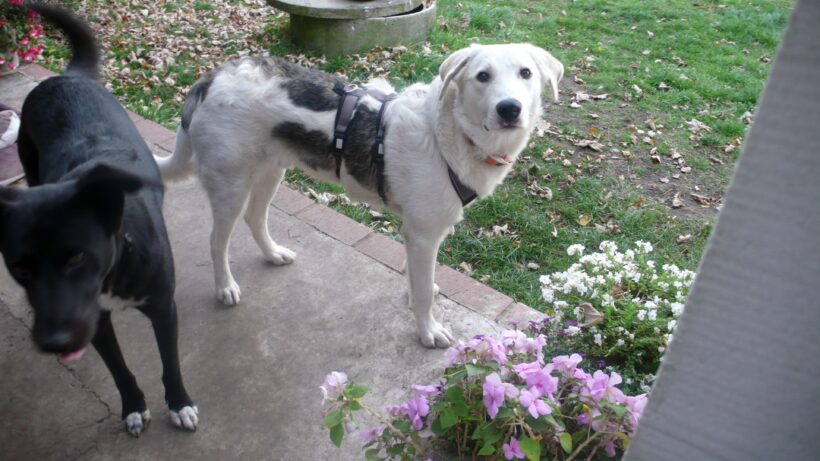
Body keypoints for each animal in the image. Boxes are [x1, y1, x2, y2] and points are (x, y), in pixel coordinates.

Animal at [0, 5, 198, 434]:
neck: (118, 262)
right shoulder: (95, 322)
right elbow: (119, 369)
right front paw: (133, 406)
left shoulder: (163, 308)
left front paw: (179, 403)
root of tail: (65, 77)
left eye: (77, 257)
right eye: (19, 269)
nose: (55, 342)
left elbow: (171, 363)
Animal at [156, 45, 560, 348]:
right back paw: (225, 287)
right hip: (231, 184)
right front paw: (428, 331)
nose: (509, 108)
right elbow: (423, 292)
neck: (448, 133)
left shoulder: (417, 232)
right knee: (216, 241)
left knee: (255, 219)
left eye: (526, 73)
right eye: (482, 76)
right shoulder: (424, 234)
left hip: (271, 171)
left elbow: (417, 280)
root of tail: (209, 78)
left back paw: (273, 254)